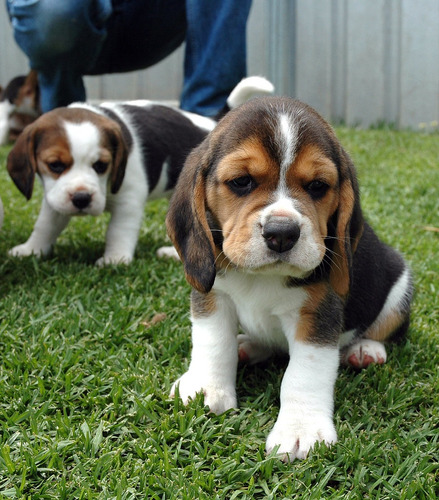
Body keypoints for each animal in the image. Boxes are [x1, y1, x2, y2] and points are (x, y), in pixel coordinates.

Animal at [6, 77, 276, 266]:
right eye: (55, 165)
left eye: (101, 165)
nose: (82, 199)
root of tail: (213, 123)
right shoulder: (56, 197)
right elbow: (45, 225)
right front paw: (31, 249)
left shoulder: (129, 199)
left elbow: (118, 230)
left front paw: (114, 259)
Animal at [167, 94, 414, 460]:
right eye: (241, 181)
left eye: (317, 186)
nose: (281, 233)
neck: (262, 277)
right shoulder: (213, 294)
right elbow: (213, 343)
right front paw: (206, 390)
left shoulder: (317, 314)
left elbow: (304, 373)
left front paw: (300, 429)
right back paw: (249, 346)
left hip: (400, 283)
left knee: (384, 328)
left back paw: (365, 350)